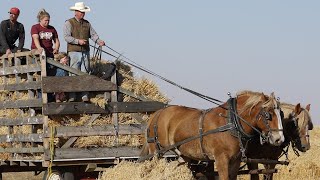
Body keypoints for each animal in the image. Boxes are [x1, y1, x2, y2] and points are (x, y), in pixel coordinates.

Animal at [140, 90, 284, 179]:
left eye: (281, 113)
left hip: (182, 154)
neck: (231, 122)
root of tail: (157, 113)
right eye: (268, 114)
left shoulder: (235, 161)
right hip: (157, 152)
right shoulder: (221, 159)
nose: (279, 139)